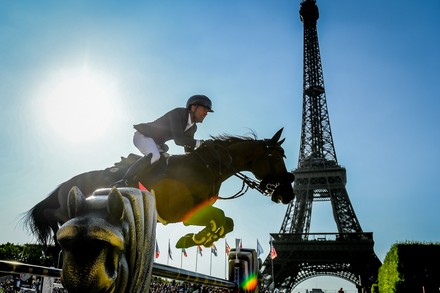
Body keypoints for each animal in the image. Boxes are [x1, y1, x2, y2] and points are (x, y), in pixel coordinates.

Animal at [23, 128, 292, 249]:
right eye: (277, 156)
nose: (287, 194)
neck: (207, 167)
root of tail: (68, 182)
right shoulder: (183, 213)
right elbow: (222, 218)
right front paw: (195, 238)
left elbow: (227, 222)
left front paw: (198, 239)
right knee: (53, 213)